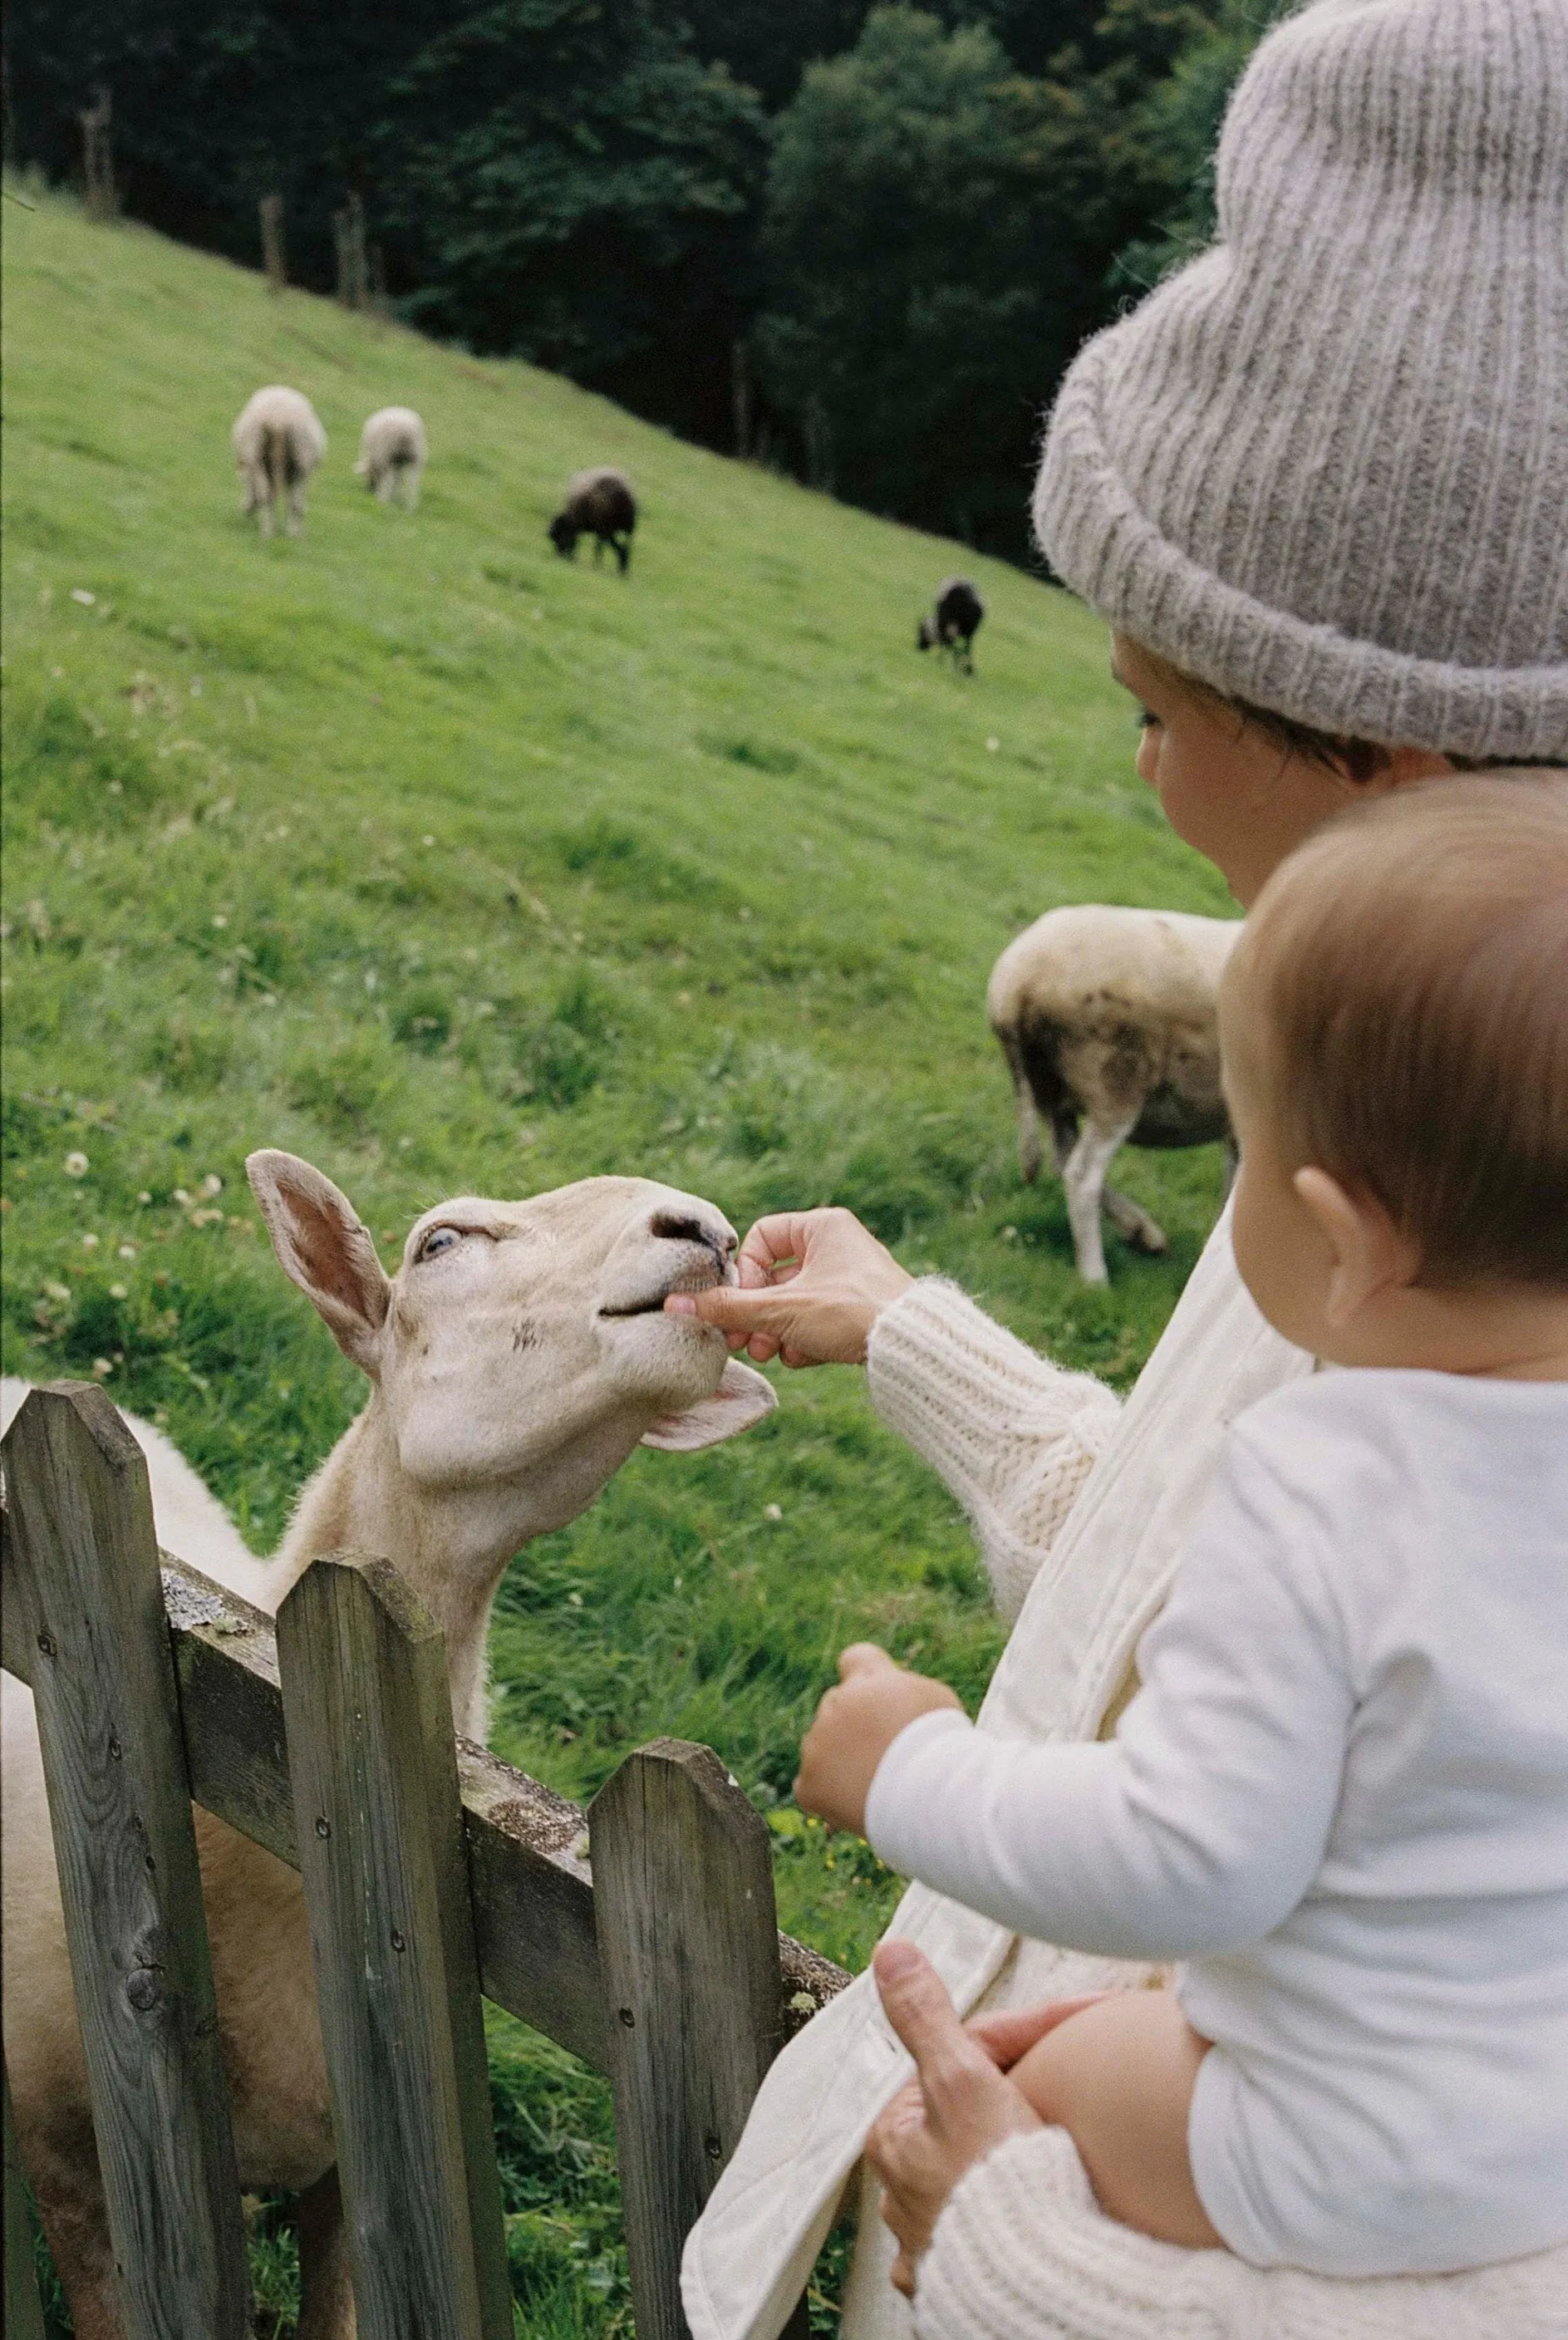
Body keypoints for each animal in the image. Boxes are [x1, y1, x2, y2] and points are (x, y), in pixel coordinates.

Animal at [231, 388, 327, 543]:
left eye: (244, 483)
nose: (245, 510)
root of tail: (277, 418)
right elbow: (293, 502)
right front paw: (294, 531)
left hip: (256, 456)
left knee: (267, 495)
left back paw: (268, 532)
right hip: (302, 461)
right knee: (294, 501)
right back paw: (292, 535)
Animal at [996, 907, 1245, 1282]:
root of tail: (1015, 982)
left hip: (1050, 1086)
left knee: (1063, 1158)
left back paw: (1142, 1232)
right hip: (1112, 1080)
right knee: (1081, 1174)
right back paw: (1094, 1277)